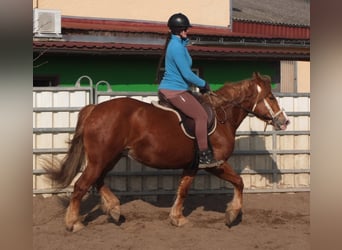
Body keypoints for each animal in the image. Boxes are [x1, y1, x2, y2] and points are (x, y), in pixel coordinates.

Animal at [44, 72, 288, 232]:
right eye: (271, 97)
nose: (284, 121)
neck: (221, 116)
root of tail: (95, 108)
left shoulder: (192, 166)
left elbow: (183, 190)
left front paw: (177, 218)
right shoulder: (215, 164)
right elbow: (239, 182)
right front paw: (232, 214)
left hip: (110, 158)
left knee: (98, 181)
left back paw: (114, 209)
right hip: (100, 159)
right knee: (81, 185)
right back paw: (74, 223)